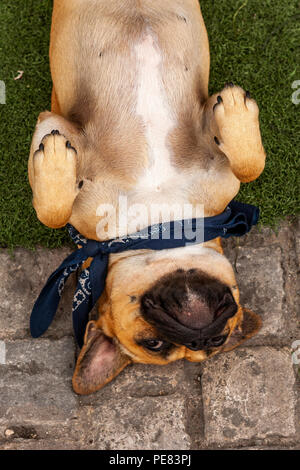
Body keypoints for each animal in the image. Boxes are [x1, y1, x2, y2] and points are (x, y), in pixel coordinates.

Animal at [28, 0, 264, 396]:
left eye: (218, 342)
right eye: (154, 344)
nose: (199, 336)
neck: (158, 220)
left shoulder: (220, 175)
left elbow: (249, 165)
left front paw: (234, 110)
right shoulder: (55, 121)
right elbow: (53, 213)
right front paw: (56, 159)